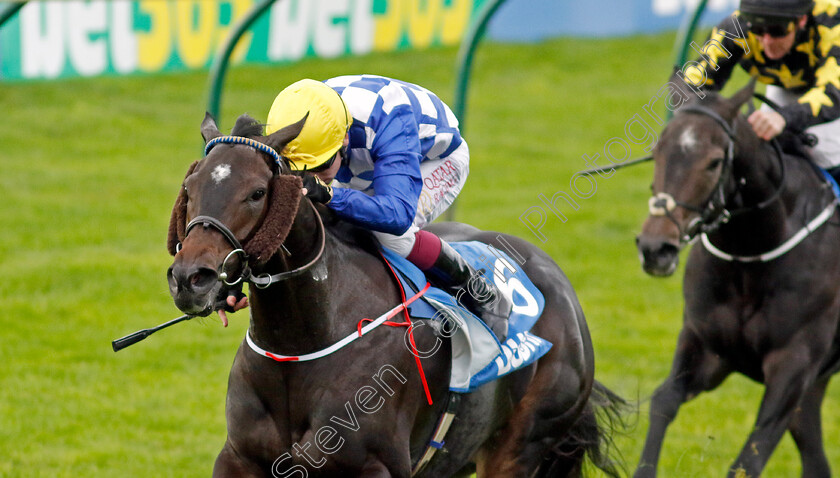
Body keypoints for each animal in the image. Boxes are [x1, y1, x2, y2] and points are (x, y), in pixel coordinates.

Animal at [164, 114, 624, 476]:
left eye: (257, 192)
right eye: (189, 187)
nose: (191, 279)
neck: (299, 345)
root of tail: (559, 284)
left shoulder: (376, 465)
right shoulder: (239, 459)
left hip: (520, 447)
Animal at [636, 80, 840, 476]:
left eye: (714, 162)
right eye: (656, 152)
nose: (656, 248)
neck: (750, 257)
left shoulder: (794, 364)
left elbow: (750, 457)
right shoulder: (707, 346)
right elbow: (663, 401)